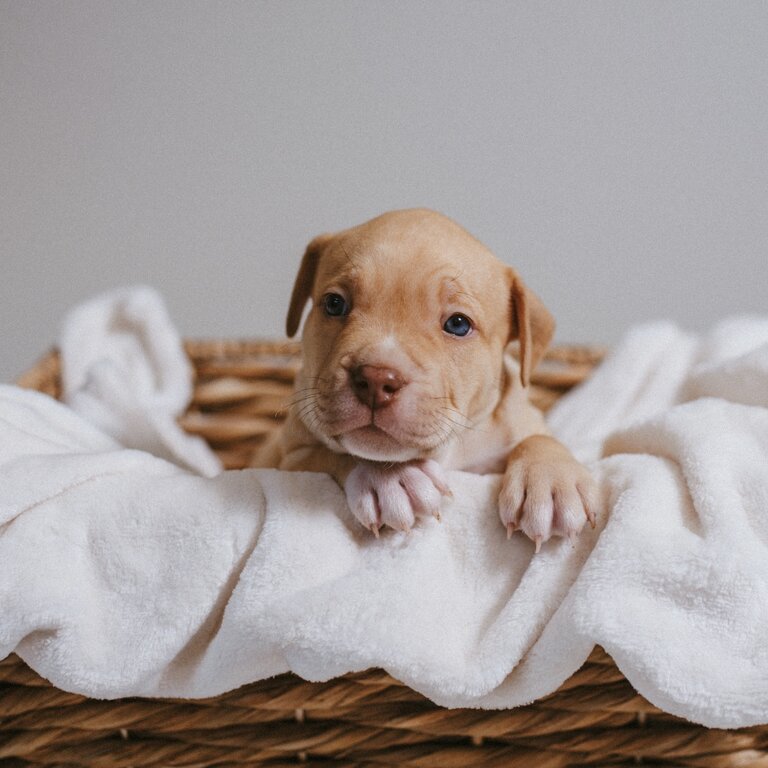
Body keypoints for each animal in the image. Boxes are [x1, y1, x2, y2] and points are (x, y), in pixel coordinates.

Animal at [255, 207, 596, 548]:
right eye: (334, 304)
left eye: (458, 324)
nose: (377, 379)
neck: (449, 450)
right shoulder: (285, 461)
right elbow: (329, 453)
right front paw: (390, 479)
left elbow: (538, 438)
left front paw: (551, 481)